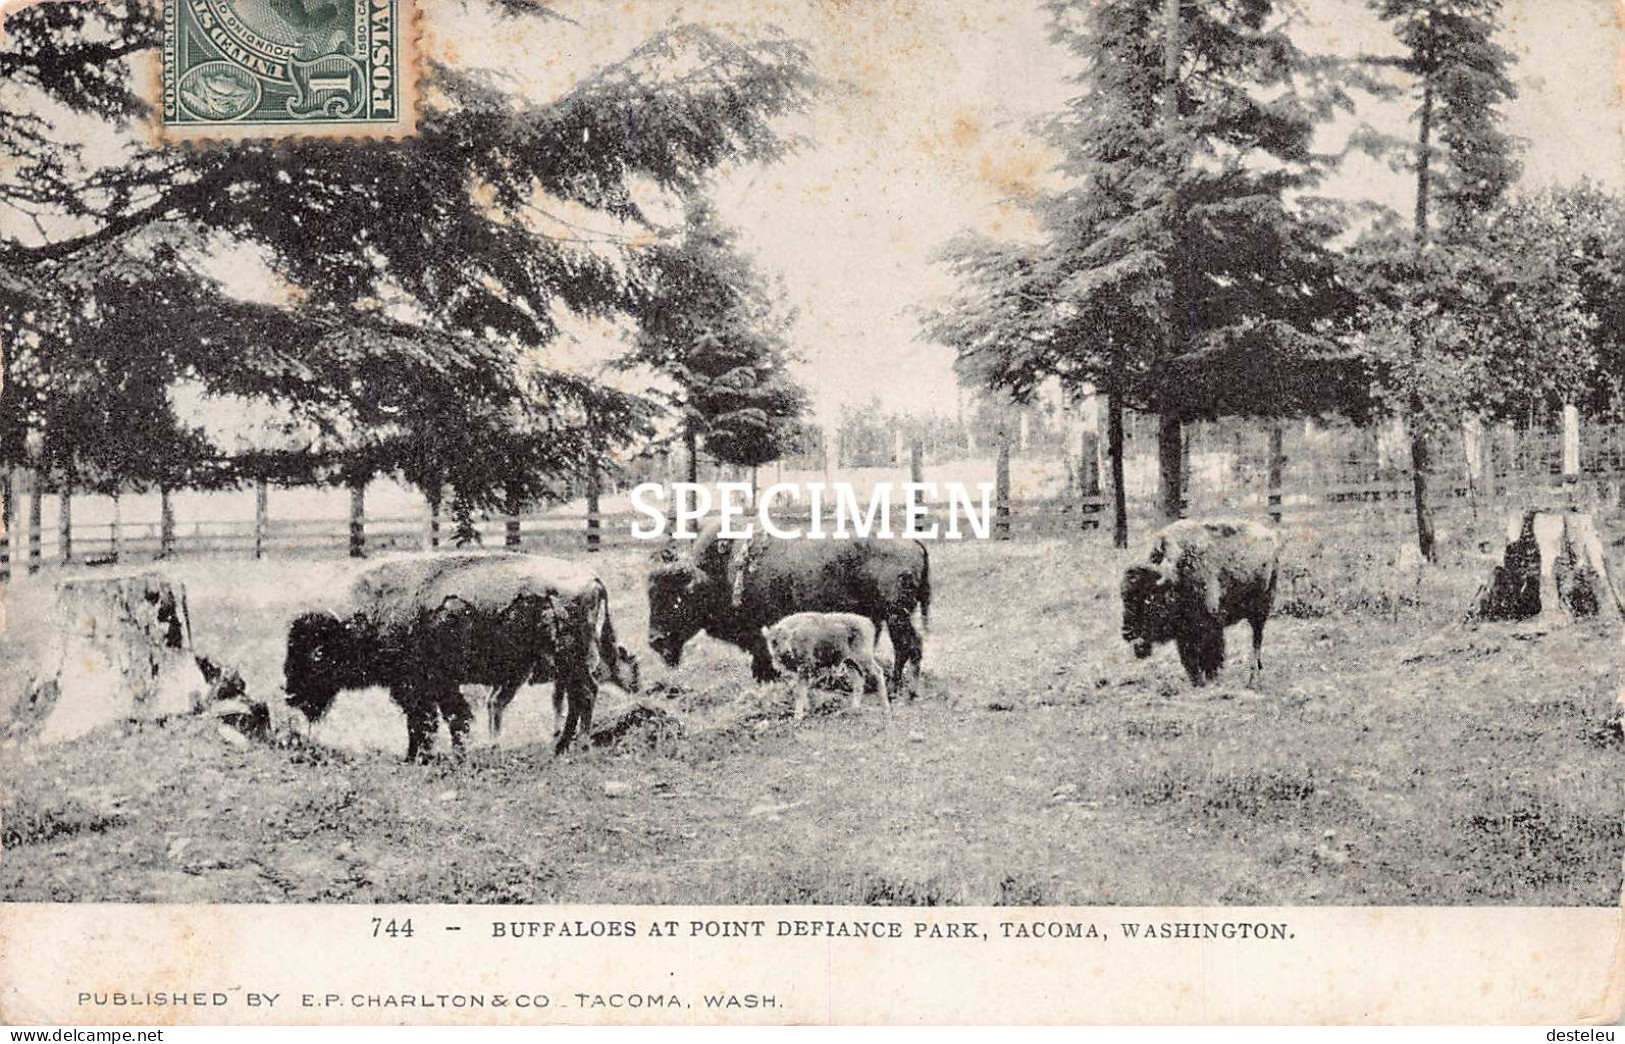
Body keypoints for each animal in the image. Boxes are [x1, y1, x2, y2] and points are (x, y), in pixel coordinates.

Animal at [282, 552, 637, 754]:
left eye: (317, 653)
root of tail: (592, 578)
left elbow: (432, 721)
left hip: (570, 660)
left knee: (585, 694)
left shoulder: (423, 686)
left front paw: (422, 756)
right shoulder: (434, 687)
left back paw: (578, 746)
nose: (287, 692)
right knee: (577, 698)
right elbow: (444, 719)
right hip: (565, 666)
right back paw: (561, 746)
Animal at [643, 513, 929, 689]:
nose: (655, 640)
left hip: (896, 615)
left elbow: (761, 650)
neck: (718, 569)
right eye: (651, 596)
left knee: (908, 645)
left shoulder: (758, 625)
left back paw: (900, 686)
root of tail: (913, 542)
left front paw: (768, 677)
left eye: (678, 598)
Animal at [760, 604, 890, 718]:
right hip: (850, 662)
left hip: (864, 658)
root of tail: (867, 622)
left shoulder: (805, 667)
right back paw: (854, 709)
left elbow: (799, 692)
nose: (786, 652)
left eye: (788, 638)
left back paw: (885, 708)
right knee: (858, 680)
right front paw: (806, 709)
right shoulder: (796, 672)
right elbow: (801, 690)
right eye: (773, 641)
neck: (796, 637)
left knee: (877, 673)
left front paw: (798, 716)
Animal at [1118, 517, 1280, 682]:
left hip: (1261, 608)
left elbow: (1211, 657)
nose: (1127, 632)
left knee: (1256, 640)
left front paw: (1212, 679)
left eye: (1149, 598)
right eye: (1124, 597)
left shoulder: (1211, 625)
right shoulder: (1184, 634)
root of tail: (1271, 537)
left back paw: (1253, 676)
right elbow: (1191, 662)